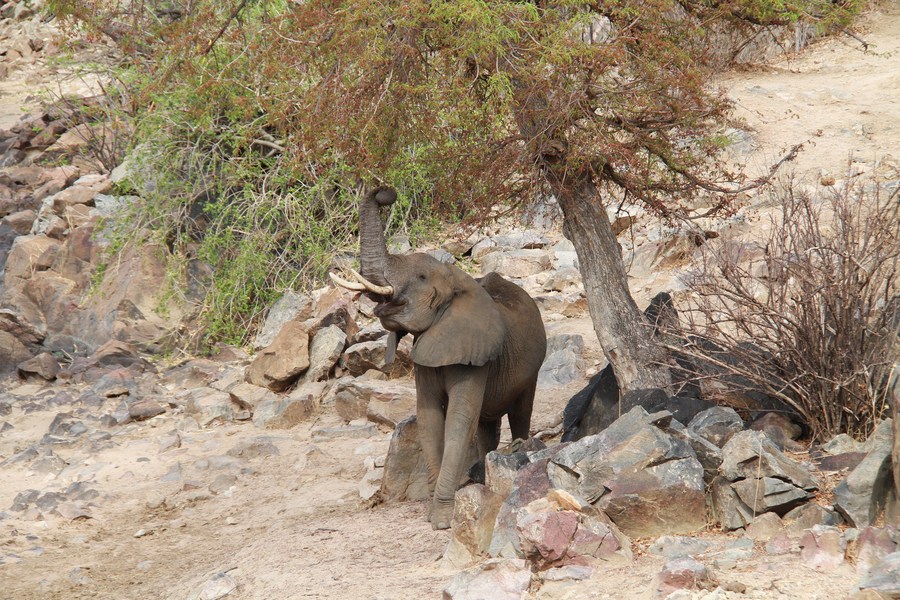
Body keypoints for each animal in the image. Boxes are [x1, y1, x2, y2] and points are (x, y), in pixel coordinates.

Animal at [331, 187, 547, 529]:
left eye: (420, 276)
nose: (385, 194)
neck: (456, 278)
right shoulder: (427, 352)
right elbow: (429, 418)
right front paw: (434, 514)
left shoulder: (470, 349)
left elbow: (458, 420)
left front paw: (443, 521)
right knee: (486, 426)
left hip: (533, 366)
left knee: (520, 412)